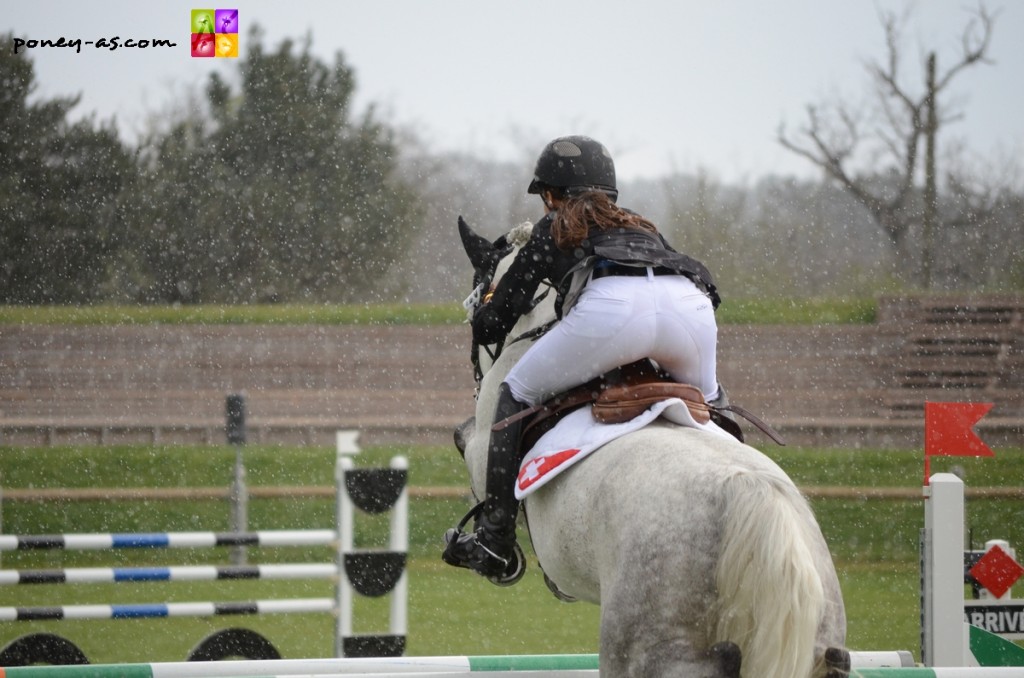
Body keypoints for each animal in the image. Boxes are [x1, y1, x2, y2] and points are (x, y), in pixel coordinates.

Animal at [450, 220, 847, 675]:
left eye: (479, 297)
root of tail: (750, 491)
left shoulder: (483, 444)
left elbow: (471, 451)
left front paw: (488, 551)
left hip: (646, 643)